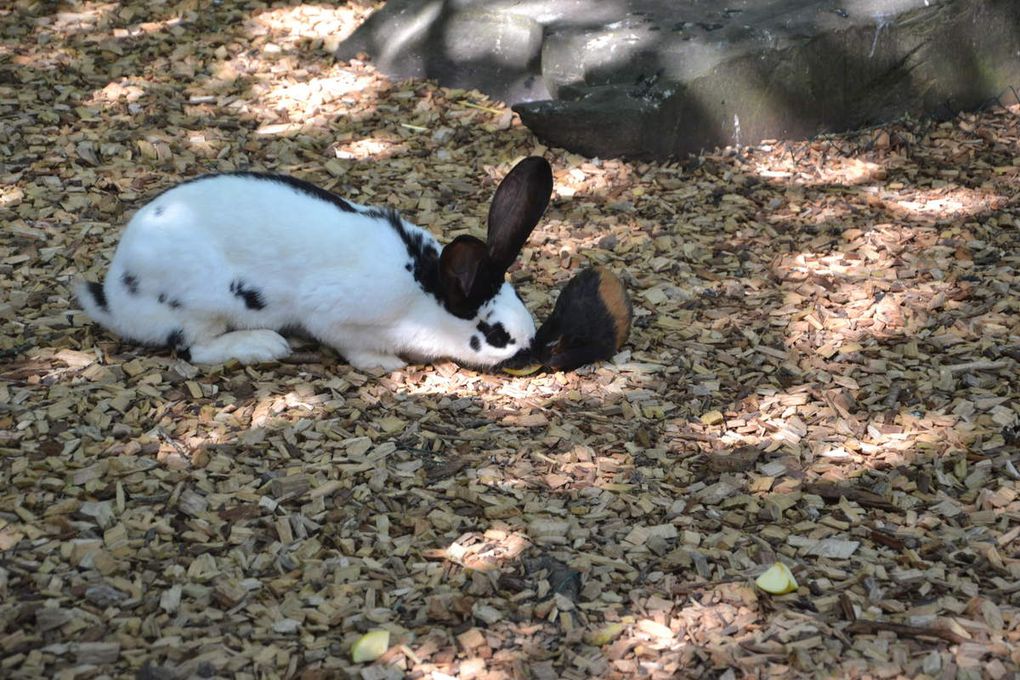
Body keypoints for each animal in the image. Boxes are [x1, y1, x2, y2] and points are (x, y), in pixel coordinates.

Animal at [75, 155, 554, 373]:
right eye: (496, 334)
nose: (532, 355)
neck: (423, 291)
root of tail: (114, 294)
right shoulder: (333, 315)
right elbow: (351, 345)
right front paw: (386, 365)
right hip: (200, 305)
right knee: (194, 349)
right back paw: (265, 346)